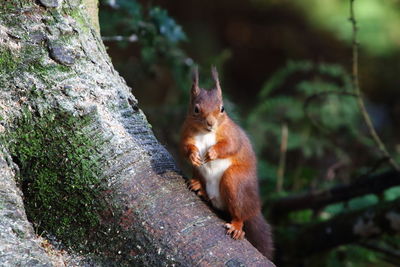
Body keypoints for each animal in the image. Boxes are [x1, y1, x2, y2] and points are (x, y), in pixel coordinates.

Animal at [180, 66, 274, 260]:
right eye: (196, 109)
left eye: (222, 108)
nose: (210, 123)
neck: (205, 133)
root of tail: (254, 208)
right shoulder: (186, 133)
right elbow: (185, 147)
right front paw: (193, 155)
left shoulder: (231, 134)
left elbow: (230, 145)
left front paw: (212, 153)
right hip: (201, 175)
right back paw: (198, 186)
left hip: (234, 181)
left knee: (239, 214)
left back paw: (237, 227)